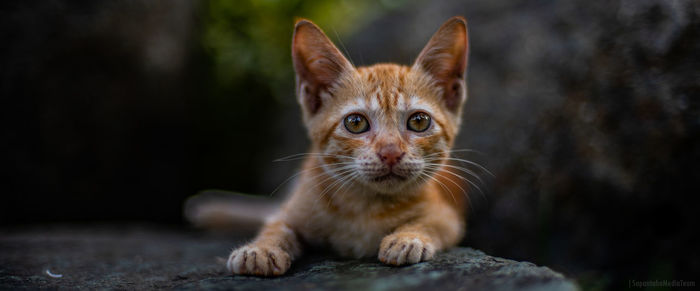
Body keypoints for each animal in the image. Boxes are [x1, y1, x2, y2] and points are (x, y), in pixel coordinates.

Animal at [230, 17, 470, 278]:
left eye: (419, 121)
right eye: (355, 123)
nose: (390, 153)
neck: (364, 207)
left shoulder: (448, 216)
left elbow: (429, 222)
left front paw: (408, 237)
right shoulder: (291, 210)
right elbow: (276, 226)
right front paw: (260, 249)